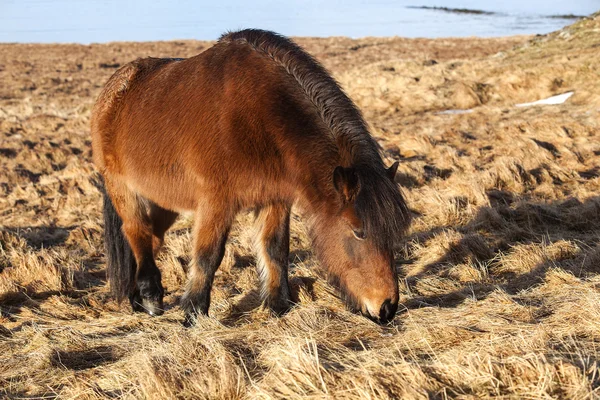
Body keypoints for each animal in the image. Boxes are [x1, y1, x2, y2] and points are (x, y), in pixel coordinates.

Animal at [91, 28, 410, 324]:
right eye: (358, 231)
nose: (386, 308)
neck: (262, 116)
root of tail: (114, 88)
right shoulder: (216, 202)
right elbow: (208, 255)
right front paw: (193, 312)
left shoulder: (275, 199)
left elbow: (275, 249)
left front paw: (278, 305)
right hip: (123, 188)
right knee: (136, 231)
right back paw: (150, 297)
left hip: (165, 200)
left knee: (151, 237)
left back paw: (136, 298)